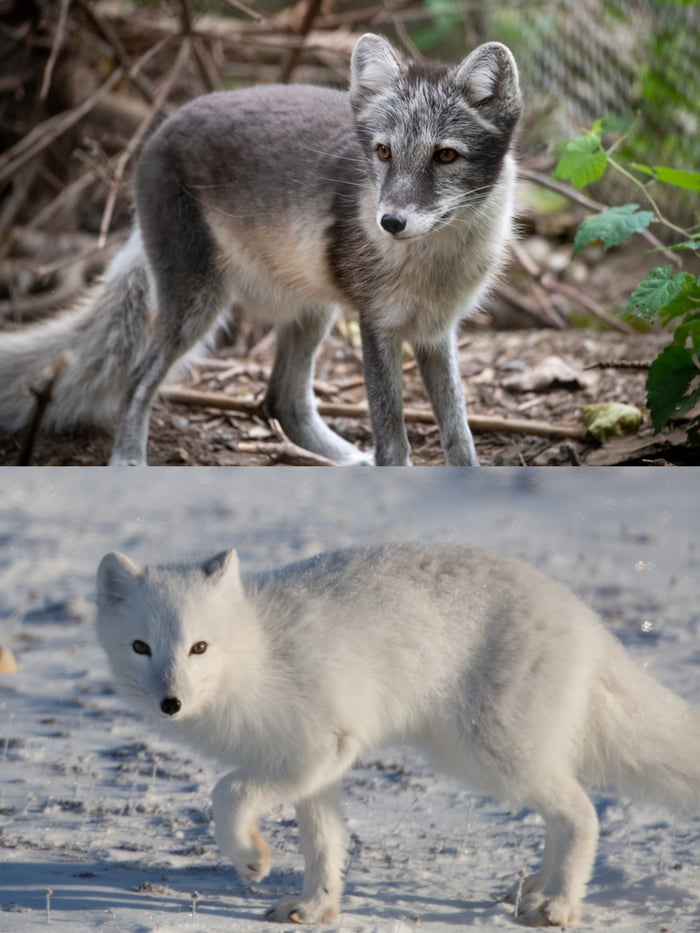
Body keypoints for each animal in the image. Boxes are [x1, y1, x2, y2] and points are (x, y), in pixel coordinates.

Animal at [97, 540, 700, 924]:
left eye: (199, 647)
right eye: (141, 647)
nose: (170, 703)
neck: (257, 655)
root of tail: (588, 622)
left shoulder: (319, 748)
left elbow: (228, 790)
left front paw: (251, 858)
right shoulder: (315, 768)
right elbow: (325, 843)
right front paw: (315, 907)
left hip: (489, 753)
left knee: (582, 813)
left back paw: (559, 906)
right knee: (563, 811)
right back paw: (535, 888)